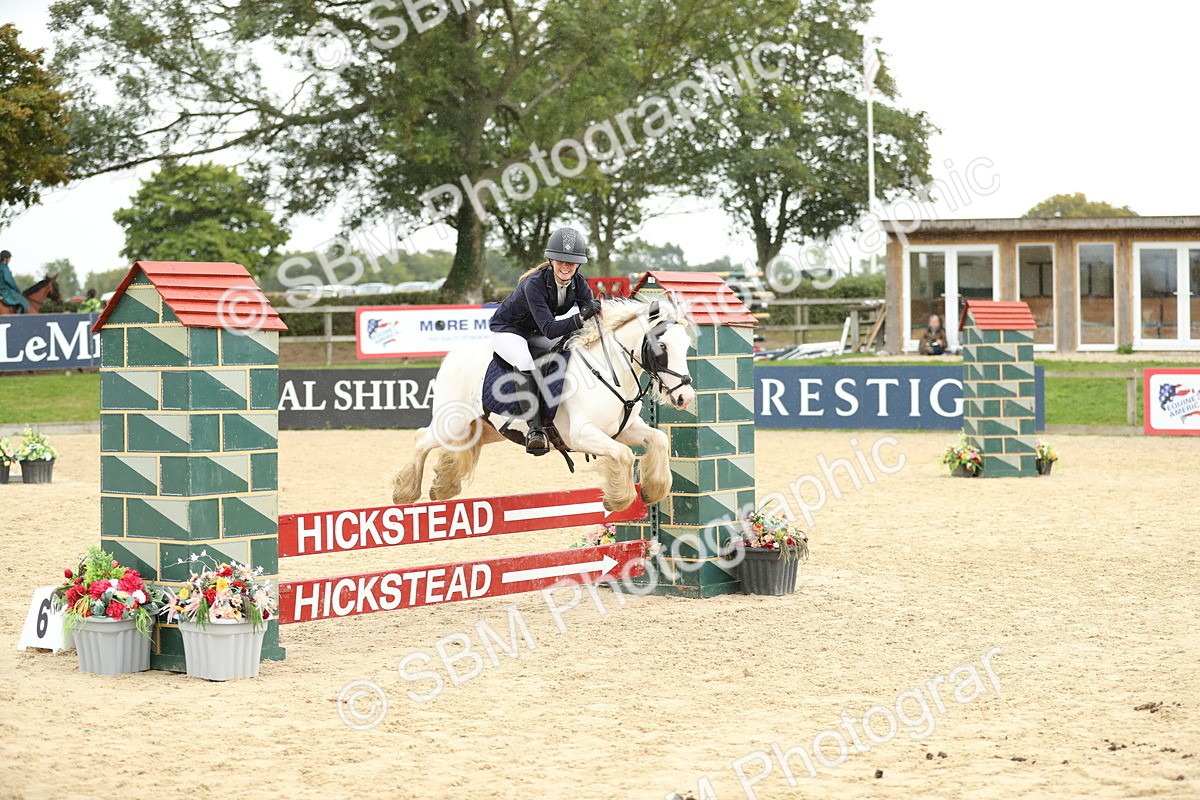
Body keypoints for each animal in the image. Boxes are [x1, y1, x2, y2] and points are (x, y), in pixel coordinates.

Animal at [391, 297, 697, 512]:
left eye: (686, 346)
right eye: (662, 347)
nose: (686, 397)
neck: (607, 372)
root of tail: (453, 355)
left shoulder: (623, 430)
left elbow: (658, 440)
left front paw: (653, 490)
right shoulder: (582, 434)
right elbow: (623, 455)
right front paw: (618, 500)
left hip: (483, 429)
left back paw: (443, 487)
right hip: (451, 423)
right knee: (421, 439)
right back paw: (405, 492)